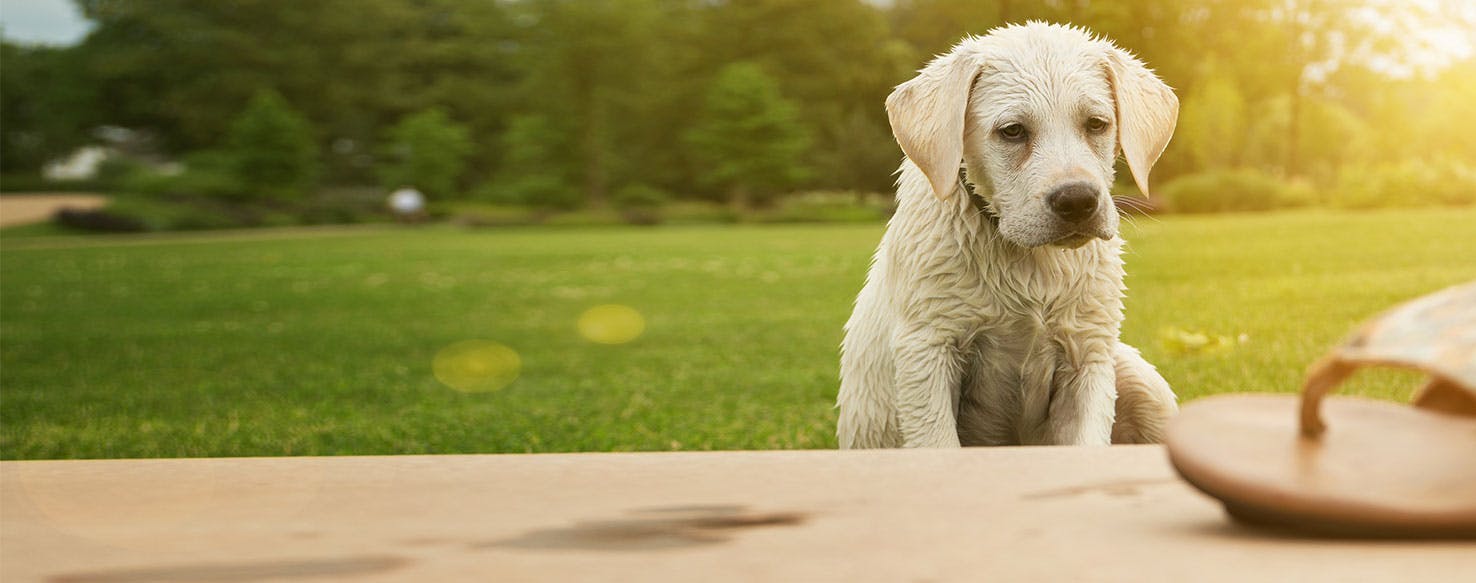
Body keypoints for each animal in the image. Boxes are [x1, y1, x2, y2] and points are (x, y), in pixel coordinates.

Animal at [838, 22, 1180, 448]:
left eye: (1096, 124)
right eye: (1013, 131)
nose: (1077, 201)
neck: (1031, 262)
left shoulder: (1088, 356)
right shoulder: (926, 351)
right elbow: (939, 445)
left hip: (1138, 378)